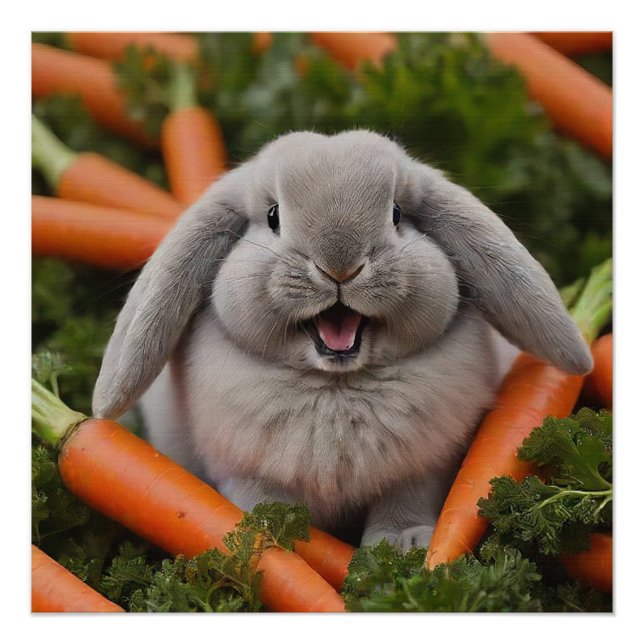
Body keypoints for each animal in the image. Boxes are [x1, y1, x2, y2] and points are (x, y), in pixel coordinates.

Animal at [92, 129, 592, 550]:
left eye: (396, 214)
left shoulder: (425, 466)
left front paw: (402, 544)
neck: (337, 385)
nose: (339, 264)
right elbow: (258, 499)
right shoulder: (242, 468)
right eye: (273, 216)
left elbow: (406, 500)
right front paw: (268, 531)